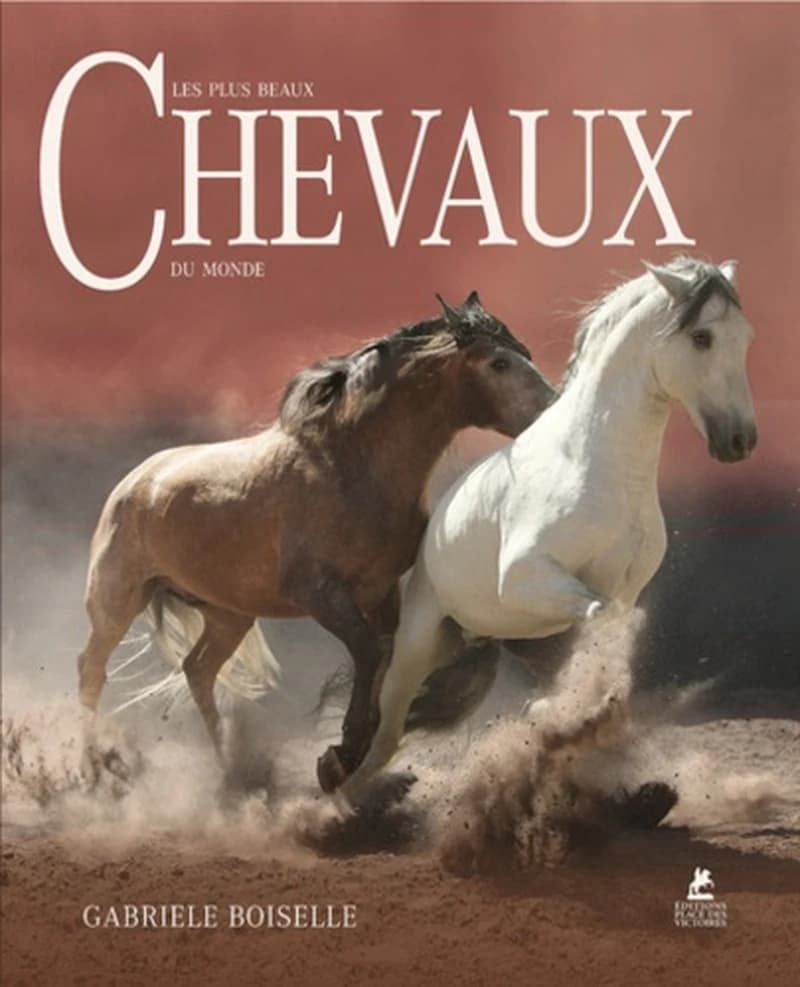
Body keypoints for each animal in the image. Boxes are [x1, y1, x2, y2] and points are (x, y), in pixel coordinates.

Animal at [76, 291, 556, 792]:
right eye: (498, 362)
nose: (551, 409)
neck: (350, 467)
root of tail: (137, 481)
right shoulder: (319, 594)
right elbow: (367, 649)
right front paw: (342, 754)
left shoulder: (381, 590)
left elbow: (386, 654)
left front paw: (351, 753)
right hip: (117, 600)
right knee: (91, 669)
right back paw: (94, 767)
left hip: (229, 615)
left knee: (198, 670)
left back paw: (234, 773)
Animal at [340, 258, 758, 797]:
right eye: (702, 337)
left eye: (744, 337)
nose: (740, 440)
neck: (599, 466)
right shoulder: (526, 577)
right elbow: (598, 617)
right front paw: (569, 713)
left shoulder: (621, 592)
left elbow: (605, 633)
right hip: (418, 639)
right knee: (387, 732)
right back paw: (341, 793)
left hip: (507, 636)